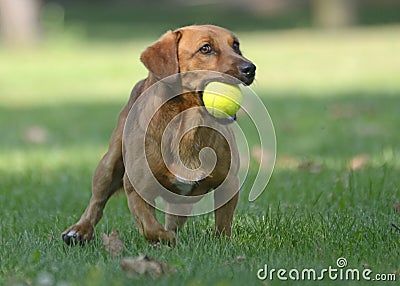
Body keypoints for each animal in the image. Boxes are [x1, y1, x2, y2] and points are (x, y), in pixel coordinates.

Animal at [62, 24, 256, 246]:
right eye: (205, 48)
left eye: (236, 45)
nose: (250, 68)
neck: (188, 126)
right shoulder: (136, 190)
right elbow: (150, 227)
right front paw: (164, 239)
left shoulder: (229, 183)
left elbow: (223, 225)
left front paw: (220, 243)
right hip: (108, 165)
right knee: (96, 202)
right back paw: (79, 230)